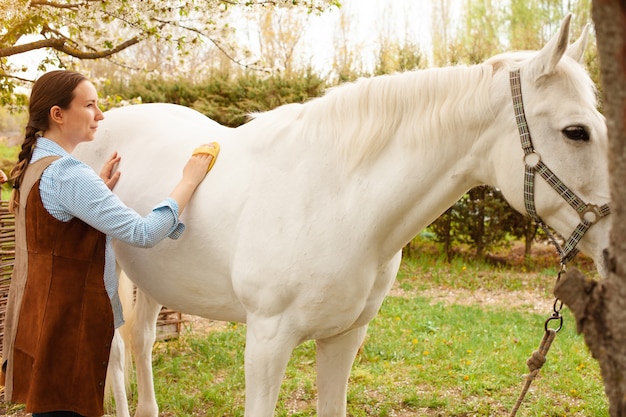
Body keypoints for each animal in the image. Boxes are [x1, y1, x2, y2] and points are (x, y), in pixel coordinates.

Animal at [72, 14, 604, 416]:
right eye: (576, 131)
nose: (611, 243)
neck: (338, 199)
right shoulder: (266, 342)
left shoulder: (345, 338)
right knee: (115, 350)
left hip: (154, 282)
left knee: (140, 341)